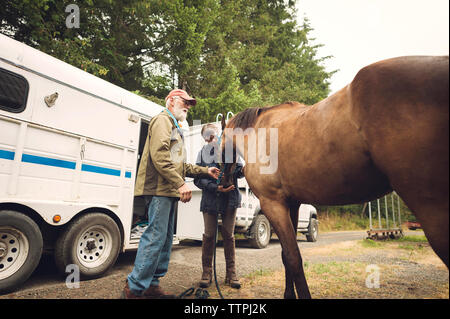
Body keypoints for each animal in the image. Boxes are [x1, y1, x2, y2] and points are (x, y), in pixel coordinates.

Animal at [220, 56, 448, 298]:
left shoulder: (273, 204)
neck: (259, 131)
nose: (223, 183)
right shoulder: (292, 203)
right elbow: (286, 256)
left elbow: (293, 257)